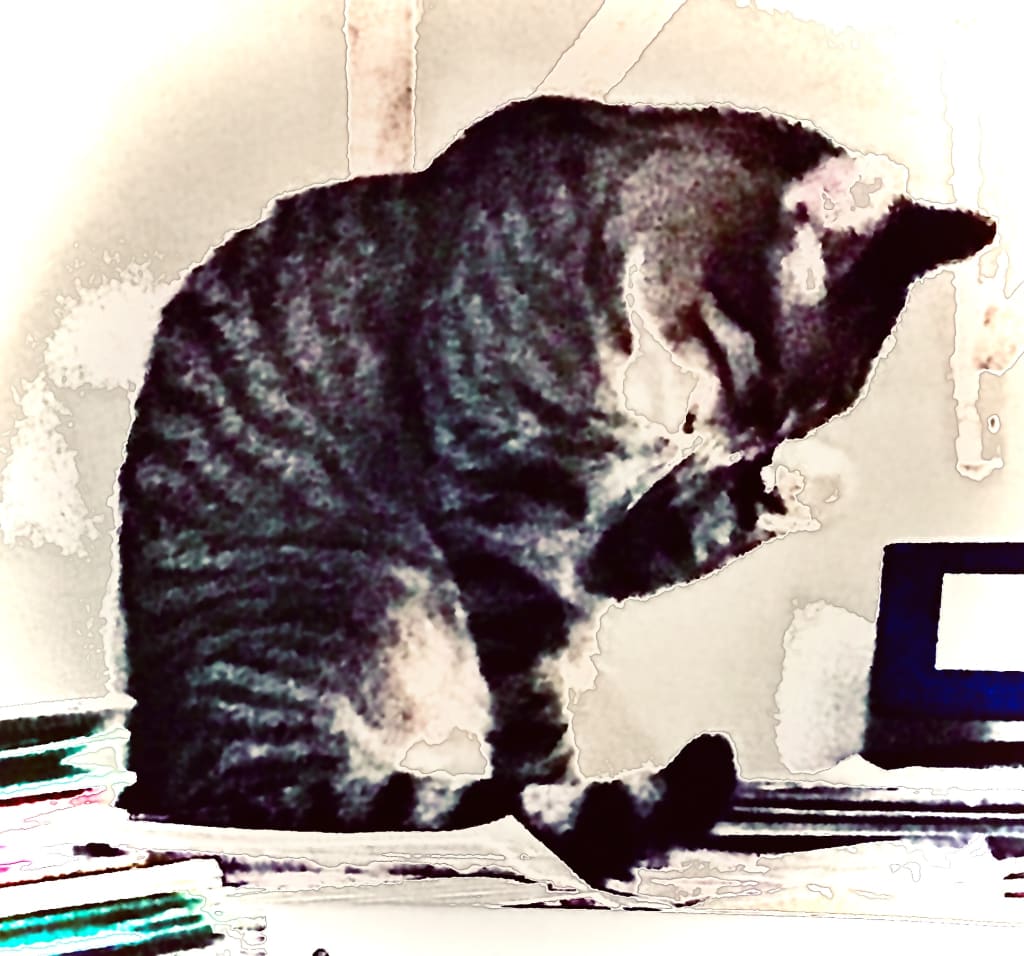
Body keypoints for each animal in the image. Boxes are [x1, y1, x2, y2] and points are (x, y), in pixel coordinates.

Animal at [117, 95, 995, 888]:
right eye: (758, 381)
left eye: (803, 415)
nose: (731, 443)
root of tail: (164, 765)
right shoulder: (505, 533)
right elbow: (535, 731)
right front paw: (565, 825)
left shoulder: (602, 548)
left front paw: (805, 480)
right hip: (349, 599)